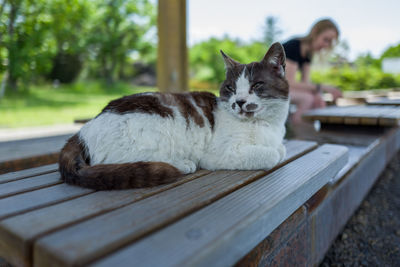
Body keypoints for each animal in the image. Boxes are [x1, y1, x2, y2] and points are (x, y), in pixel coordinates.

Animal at [58, 43, 288, 191]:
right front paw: (273, 152)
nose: (238, 102)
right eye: (231, 88)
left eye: (256, 86)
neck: (265, 125)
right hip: (152, 135)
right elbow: (272, 155)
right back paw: (182, 164)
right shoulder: (220, 153)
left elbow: (281, 148)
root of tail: (82, 131)